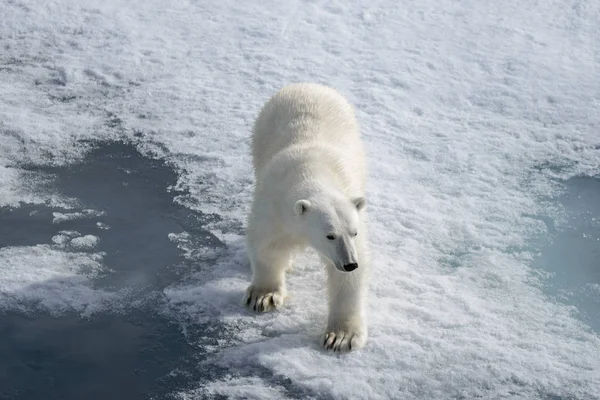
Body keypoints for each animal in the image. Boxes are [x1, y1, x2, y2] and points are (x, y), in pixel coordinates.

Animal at [245, 83, 370, 352]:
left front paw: (341, 337)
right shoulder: (273, 205)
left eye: (353, 232)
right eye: (330, 235)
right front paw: (264, 296)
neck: (312, 169)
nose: (349, 263)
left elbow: (349, 280)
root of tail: (308, 85)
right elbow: (267, 245)